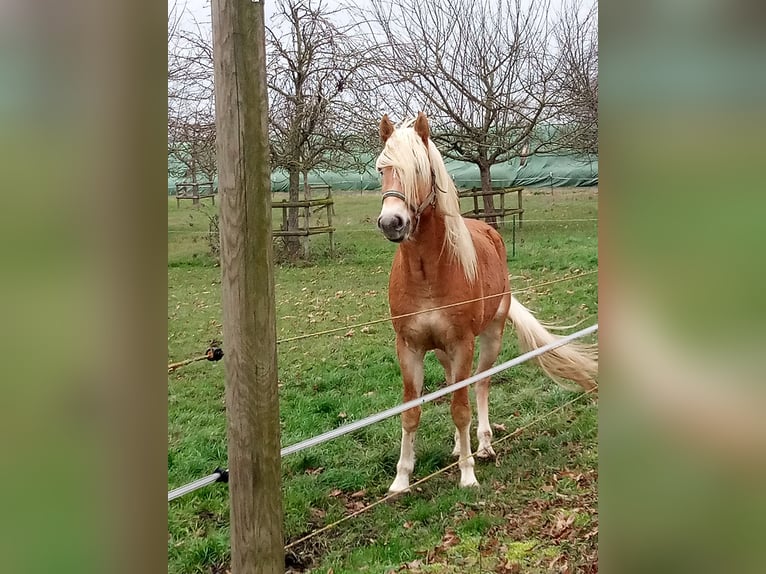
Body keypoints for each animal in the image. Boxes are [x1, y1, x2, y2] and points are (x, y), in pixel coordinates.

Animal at [375, 112, 598, 493]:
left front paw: (467, 475)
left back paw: (482, 445)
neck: (427, 275)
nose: (392, 222)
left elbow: (461, 408)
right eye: (381, 169)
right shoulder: (409, 346)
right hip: (442, 350)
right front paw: (401, 479)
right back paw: (457, 447)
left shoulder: (463, 344)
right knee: (455, 385)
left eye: (418, 169)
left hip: (490, 338)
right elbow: (411, 411)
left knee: (479, 385)